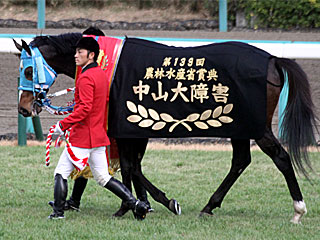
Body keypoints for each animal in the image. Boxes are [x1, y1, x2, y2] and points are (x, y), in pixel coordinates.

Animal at [14, 31, 318, 223]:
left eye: (27, 71)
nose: (24, 108)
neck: (109, 66)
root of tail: (272, 60)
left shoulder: (125, 128)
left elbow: (129, 166)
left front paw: (132, 206)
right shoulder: (132, 129)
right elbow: (133, 166)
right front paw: (147, 203)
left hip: (255, 126)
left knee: (280, 157)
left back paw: (298, 209)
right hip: (239, 127)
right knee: (241, 161)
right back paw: (209, 206)